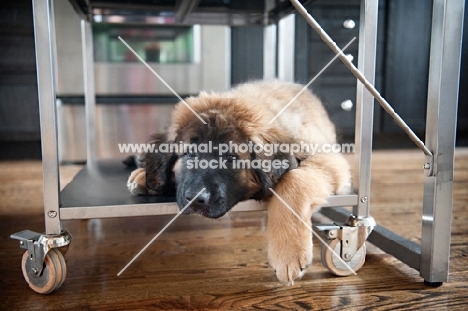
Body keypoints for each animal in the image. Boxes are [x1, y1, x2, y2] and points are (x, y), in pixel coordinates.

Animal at [128, 80, 352, 286]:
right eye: (190, 153)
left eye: (230, 157)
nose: (195, 199)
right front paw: (148, 175)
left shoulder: (328, 158)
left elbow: (294, 179)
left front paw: (288, 253)